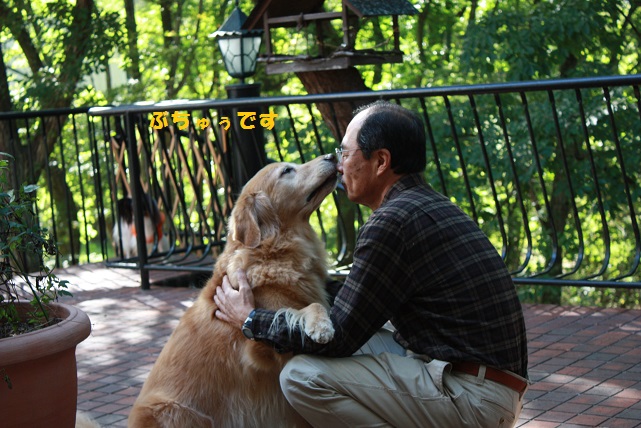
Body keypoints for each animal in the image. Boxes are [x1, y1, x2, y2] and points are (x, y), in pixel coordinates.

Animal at [130, 155, 340, 428]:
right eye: (287, 171)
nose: (332, 156)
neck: (272, 251)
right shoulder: (262, 351)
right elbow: (306, 308)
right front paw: (320, 326)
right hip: (178, 413)